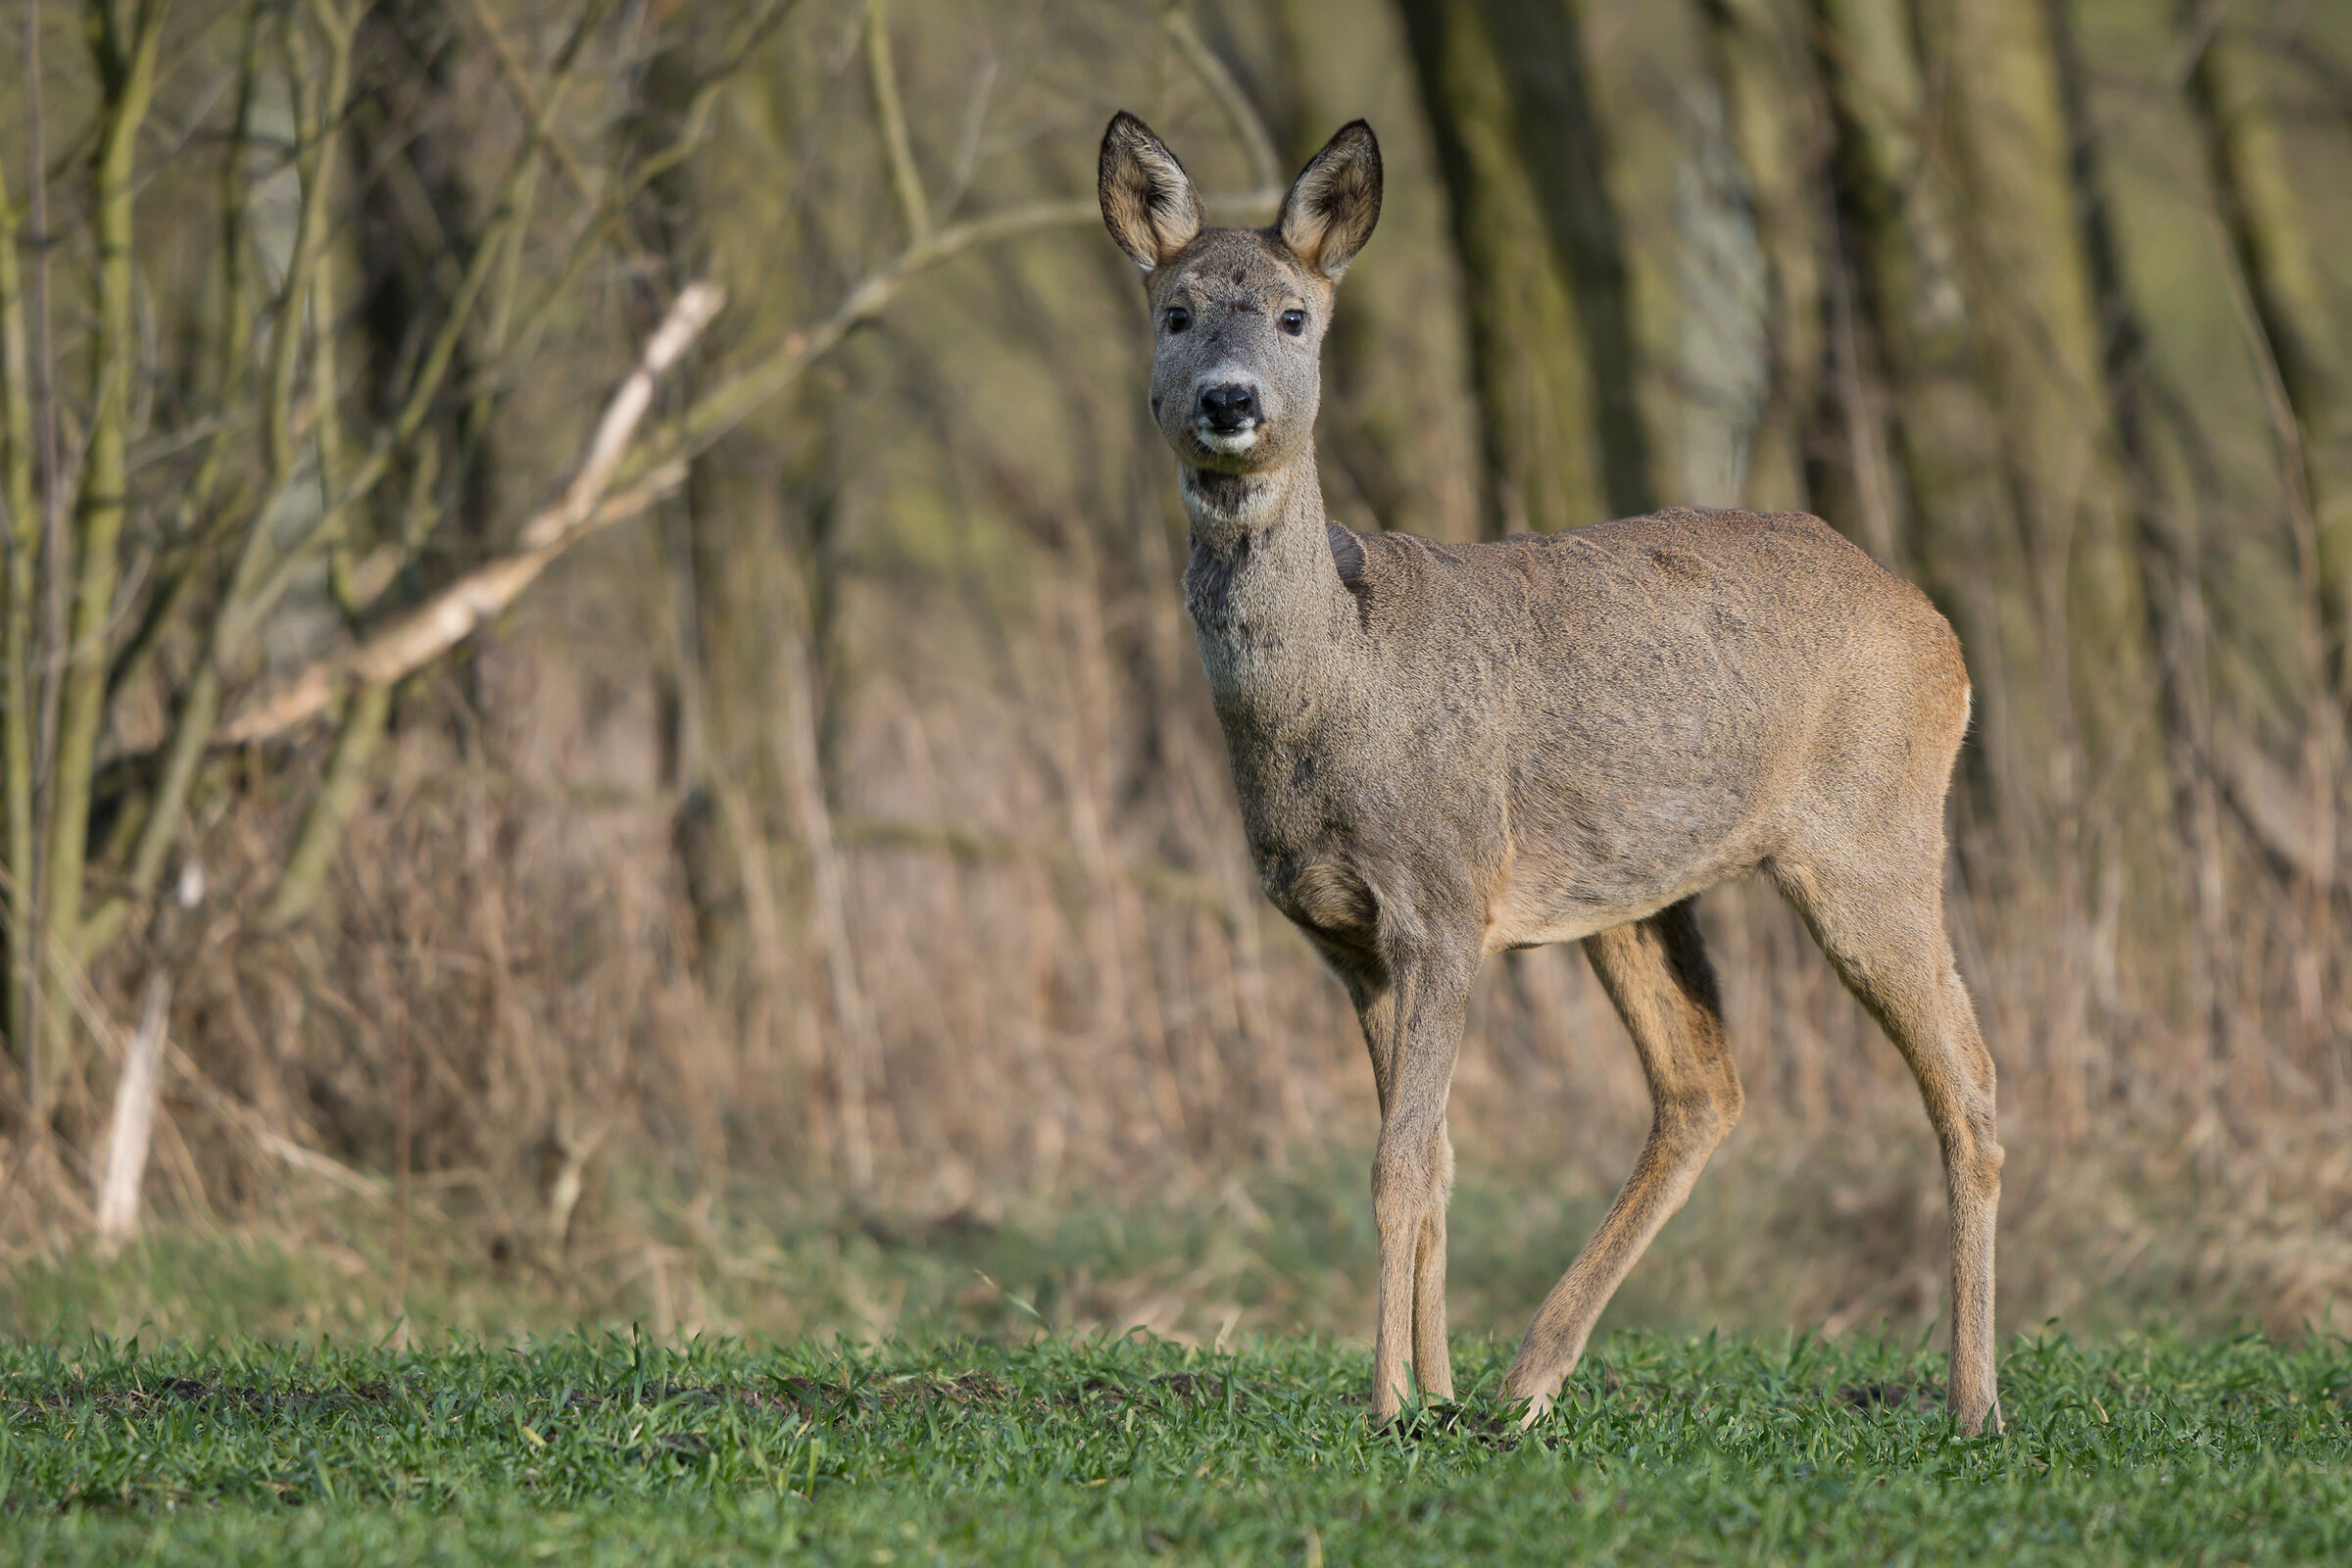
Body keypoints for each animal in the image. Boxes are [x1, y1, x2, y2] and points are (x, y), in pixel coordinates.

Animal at [1096, 111, 2003, 1436]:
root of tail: (1941, 633)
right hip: (1632, 892)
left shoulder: (1440, 898)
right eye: (1175, 310)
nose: (1228, 398)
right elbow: (1434, 1160)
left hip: (1871, 837)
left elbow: (1398, 1162)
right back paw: (1525, 1380)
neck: (1340, 688)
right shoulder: (1346, 938)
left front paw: (1385, 1403)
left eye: (1294, 316)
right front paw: (1432, 1392)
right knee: (1704, 1087)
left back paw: (1974, 1404)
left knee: (1967, 1081)